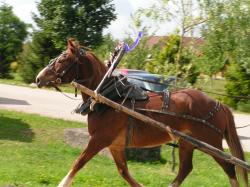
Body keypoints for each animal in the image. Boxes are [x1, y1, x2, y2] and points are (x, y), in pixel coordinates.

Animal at [35, 38, 248, 186]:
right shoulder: (115, 145)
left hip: (210, 143)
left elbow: (78, 163)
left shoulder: (99, 139)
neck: (108, 97)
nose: (38, 77)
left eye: (63, 59)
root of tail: (219, 104)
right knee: (186, 169)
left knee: (230, 167)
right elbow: (124, 172)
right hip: (187, 143)